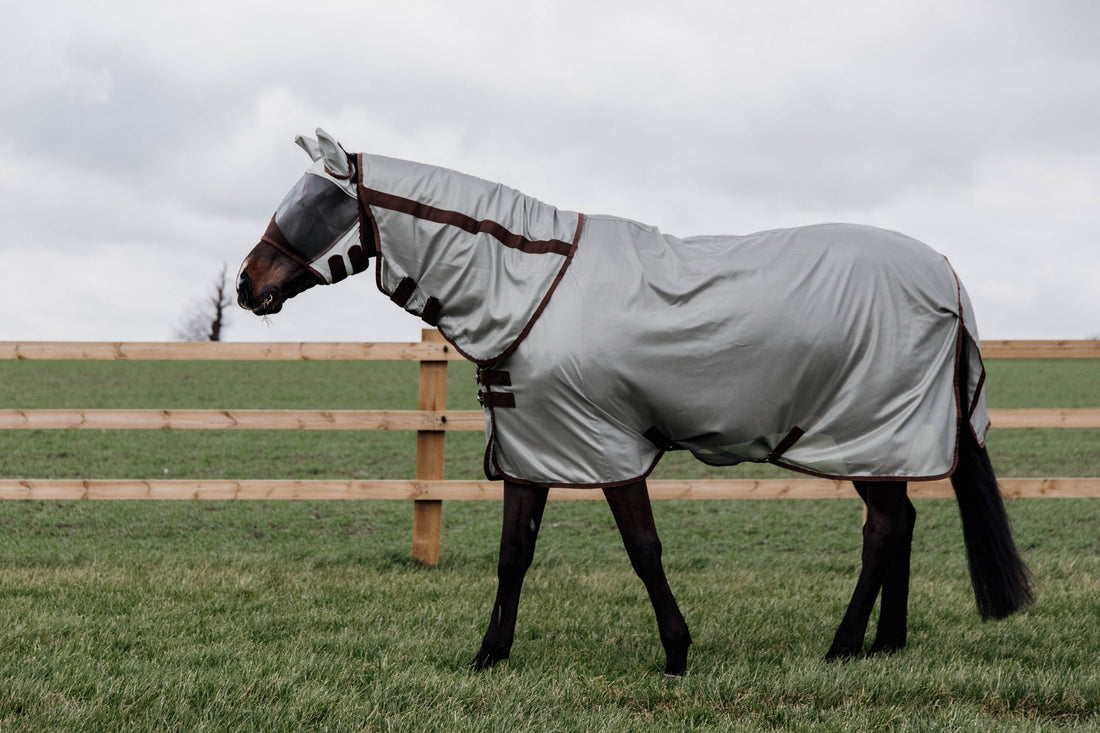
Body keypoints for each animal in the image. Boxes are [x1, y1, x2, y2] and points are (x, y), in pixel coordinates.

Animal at [236, 128, 1032, 675]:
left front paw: (677, 653)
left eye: (318, 203)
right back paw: (884, 645)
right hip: (879, 440)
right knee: (901, 524)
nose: (247, 285)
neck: (532, 288)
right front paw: (489, 655)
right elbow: (513, 555)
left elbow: (643, 550)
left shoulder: (604, 446)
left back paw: (842, 647)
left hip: (866, 432)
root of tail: (945, 274)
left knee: (885, 527)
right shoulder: (532, 444)